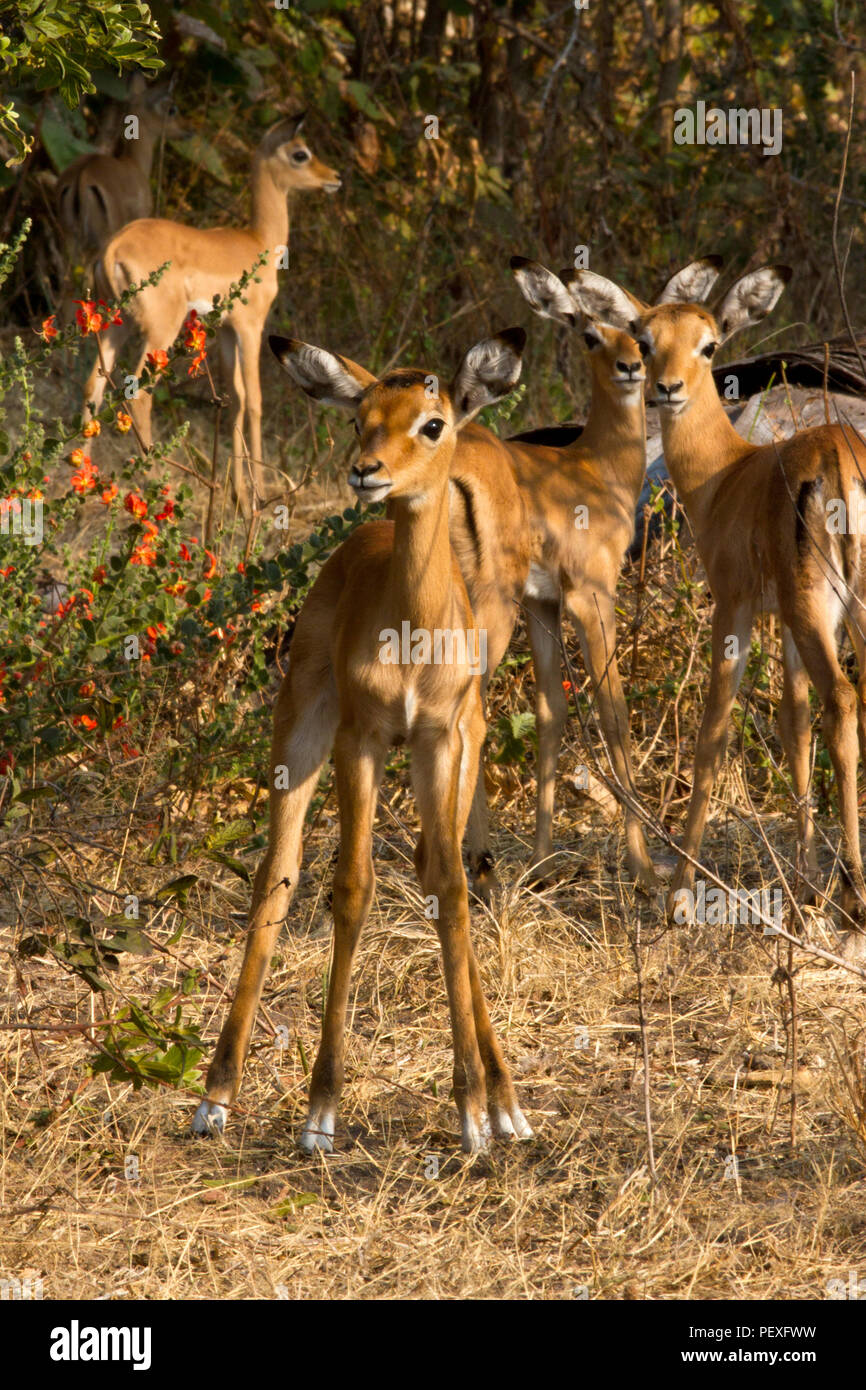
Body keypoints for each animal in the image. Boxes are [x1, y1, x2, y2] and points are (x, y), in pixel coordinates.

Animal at [56, 75, 182, 266]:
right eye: (172, 109)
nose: (189, 131)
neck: (134, 164)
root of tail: (82, 176)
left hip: (70, 238)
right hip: (102, 241)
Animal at [82, 115, 341, 511]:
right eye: (301, 153)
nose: (334, 176)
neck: (259, 242)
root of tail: (112, 248)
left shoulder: (227, 332)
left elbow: (236, 398)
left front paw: (239, 494)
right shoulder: (251, 327)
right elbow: (255, 400)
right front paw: (258, 496)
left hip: (114, 327)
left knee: (92, 387)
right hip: (160, 331)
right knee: (138, 394)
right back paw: (160, 484)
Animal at [191, 328, 533, 1152]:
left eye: (433, 422)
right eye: (360, 416)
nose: (366, 471)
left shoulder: (439, 739)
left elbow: (451, 889)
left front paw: (475, 1108)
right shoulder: (361, 739)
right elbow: (350, 888)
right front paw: (321, 1110)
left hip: (457, 752)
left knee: (442, 870)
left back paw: (506, 1100)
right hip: (301, 740)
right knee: (275, 880)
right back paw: (216, 1095)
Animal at [499, 254, 722, 890]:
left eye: (636, 335)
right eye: (590, 334)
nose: (635, 371)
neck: (592, 470)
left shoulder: (542, 604)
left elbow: (550, 716)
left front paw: (540, 860)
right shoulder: (590, 598)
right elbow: (615, 715)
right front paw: (644, 868)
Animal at [573, 263, 866, 953]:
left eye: (709, 345)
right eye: (646, 339)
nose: (667, 388)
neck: (728, 476)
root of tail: (840, 458)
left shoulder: (733, 607)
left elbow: (713, 731)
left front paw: (679, 893)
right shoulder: (784, 621)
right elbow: (793, 723)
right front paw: (804, 886)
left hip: (819, 614)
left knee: (844, 702)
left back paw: (853, 903)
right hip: (843, 612)